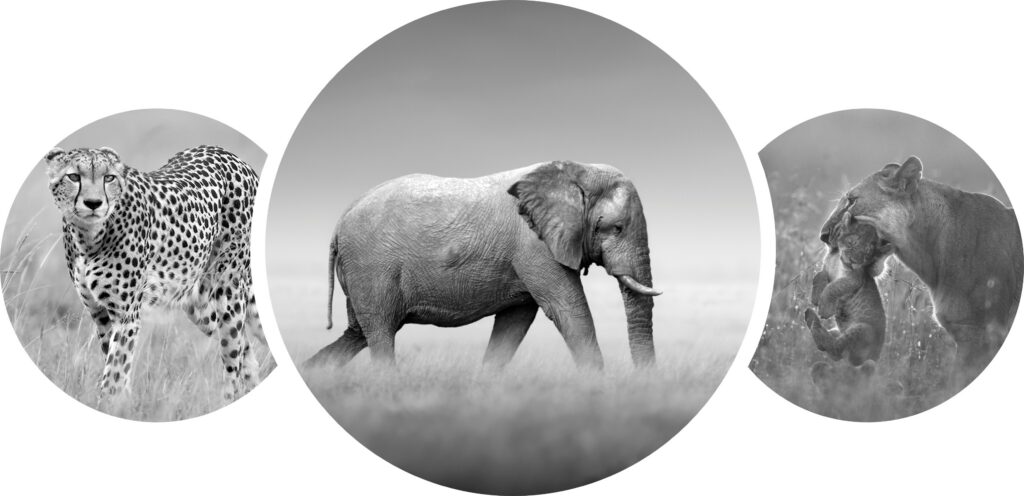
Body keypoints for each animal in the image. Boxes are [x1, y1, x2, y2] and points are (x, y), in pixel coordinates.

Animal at [45, 145, 265, 401]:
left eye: (108, 177)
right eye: (73, 177)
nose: (93, 203)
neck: (89, 237)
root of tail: (226, 153)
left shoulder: (126, 315)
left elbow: (115, 371)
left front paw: (110, 402)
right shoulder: (99, 314)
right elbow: (117, 365)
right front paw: (122, 401)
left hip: (228, 293)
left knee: (233, 359)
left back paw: (227, 397)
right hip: (199, 304)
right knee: (245, 351)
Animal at [307, 160, 661, 370]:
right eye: (616, 228)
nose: (642, 384)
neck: (577, 171)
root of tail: (340, 222)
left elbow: (514, 323)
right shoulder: (534, 247)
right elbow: (569, 310)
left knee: (358, 333)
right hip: (371, 267)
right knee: (380, 332)